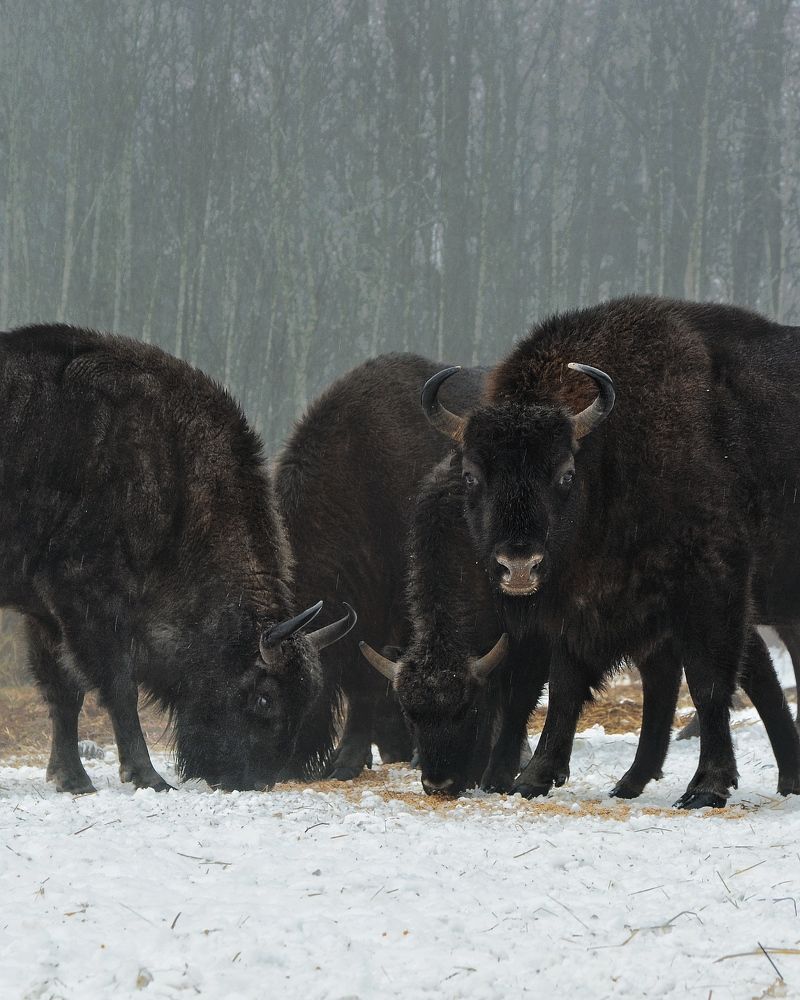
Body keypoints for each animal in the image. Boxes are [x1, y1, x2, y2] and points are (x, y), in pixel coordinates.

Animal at [1, 324, 353, 793]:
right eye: (264, 697)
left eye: (306, 699)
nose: (255, 779)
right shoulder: (86, 599)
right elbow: (118, 688)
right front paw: (147, 776)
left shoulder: (44, 613)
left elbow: (64, 692)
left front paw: (71, 779)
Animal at [366, 297, 800, 807]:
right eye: (472, 475)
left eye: (565, 474)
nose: (518, 566)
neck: (613, 457)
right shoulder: (577, 609)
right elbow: (567, 686)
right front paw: (533, 778)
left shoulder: (712, 584)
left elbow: (709, 681)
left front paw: (706, 787)